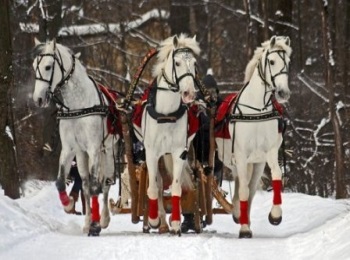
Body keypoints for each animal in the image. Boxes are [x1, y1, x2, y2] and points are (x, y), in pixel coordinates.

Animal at [31, 38, 119, 236]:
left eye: (48, 66)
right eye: (34, 66)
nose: (38, 99)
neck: (78, 105)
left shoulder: (94, 148)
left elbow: (96, 186)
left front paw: (96, 225)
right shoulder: (70, 149)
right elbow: (61, 182)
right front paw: (68, 204)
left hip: (108, 151)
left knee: (105, 184)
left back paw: (103, 219)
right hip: (81, 155)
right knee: (85, 184)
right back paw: (88, 222)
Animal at [134, 33, 200, 235]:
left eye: (194, 63)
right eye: (177, 63)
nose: (189, 93)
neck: (167, 114)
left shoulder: (179, 152)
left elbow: (177, 187)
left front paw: (177, 223)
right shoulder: (151, 153)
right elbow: (153, 188)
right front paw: (154, 220)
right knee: (159, 182)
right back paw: (160, 221)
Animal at [216, 35, 292, 239]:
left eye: (288, 62)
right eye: (272, 61)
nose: (283, 93)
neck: (256, 110)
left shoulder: (270, 152)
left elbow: (276, 175)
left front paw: (275, 215)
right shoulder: (241, 155)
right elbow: (242, 189)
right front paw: (244, 229)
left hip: (256, 164)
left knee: (249, 190)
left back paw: (242, 216)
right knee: (242, 187)